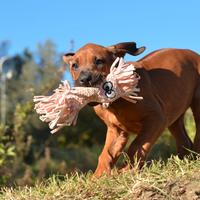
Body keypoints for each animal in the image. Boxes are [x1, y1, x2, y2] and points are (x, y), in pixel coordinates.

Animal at [63, 41, 200, 177]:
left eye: (99, 61)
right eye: (75, 65)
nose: (85, 79)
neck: (115, 102)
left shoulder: (156, 118)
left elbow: (136, 146)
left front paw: (127, 170)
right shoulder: (116, 131)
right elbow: (106, 155)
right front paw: (98, 176)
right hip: (174, 113)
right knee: (183, 139)